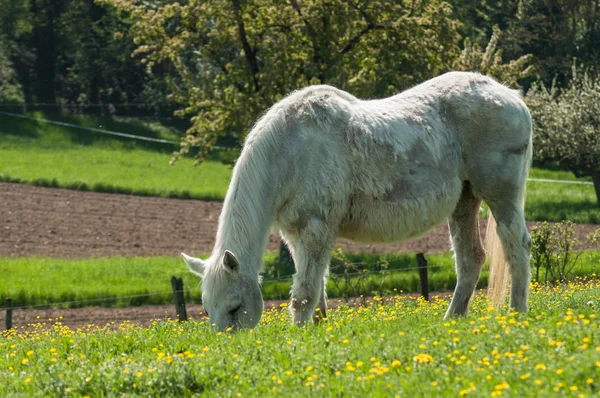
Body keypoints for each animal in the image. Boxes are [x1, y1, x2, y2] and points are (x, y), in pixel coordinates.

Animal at [180, 72, 532, 332]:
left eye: (235, 307)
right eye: (207, 308)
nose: (229, 344)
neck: (291, 151)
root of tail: (512, 97)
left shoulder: (316, 229)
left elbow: (304, 291)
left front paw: (299, 332)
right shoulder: (295, 235)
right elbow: (317, 285)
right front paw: (317, 328)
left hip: (501, 196)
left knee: (517, 247)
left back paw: (517, 313)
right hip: (464, 202)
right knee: (470, 258)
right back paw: (453, 318)